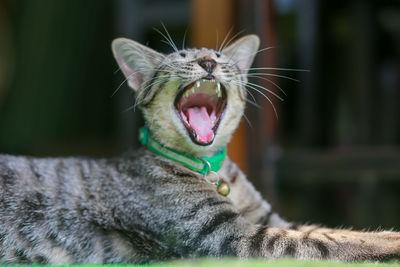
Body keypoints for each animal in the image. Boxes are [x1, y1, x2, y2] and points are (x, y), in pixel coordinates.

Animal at [0, 34, 398, 266]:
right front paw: (387, 240)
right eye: (180, 57)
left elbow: (324, 228)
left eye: (220, 56)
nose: (208, 63)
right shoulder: (232, 236)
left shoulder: (269, 219)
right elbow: (323, 241)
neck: (212, 170)